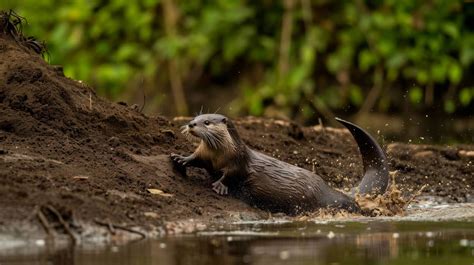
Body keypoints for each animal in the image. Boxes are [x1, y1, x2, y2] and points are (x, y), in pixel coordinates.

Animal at [170, 113, 388, 212]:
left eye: (207, 122)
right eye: (196, 117)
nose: (191, 124)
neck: (219, 155)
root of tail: (328, 189)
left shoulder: (238, 161)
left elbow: (231, 175)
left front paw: (220, 185)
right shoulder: (204, 155)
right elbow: (195, 159)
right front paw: (180, 158)